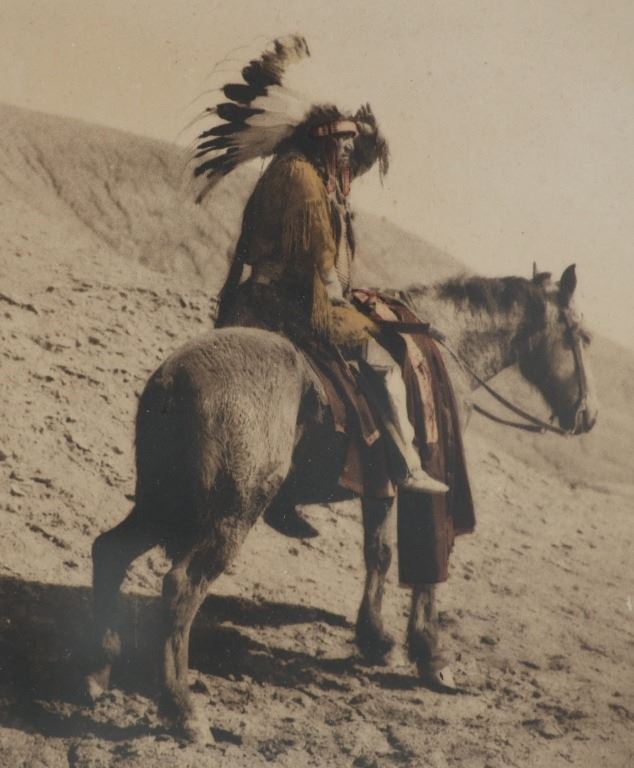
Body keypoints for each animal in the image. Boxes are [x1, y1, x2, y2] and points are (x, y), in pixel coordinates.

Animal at [84, 264, 597, 742]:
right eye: (584, 337)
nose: (589, 416)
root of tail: (171, 381)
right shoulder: (424, 490)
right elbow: (423, 570)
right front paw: (429, 655)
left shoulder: (381, 485)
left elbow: (379, 553)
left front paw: (375, 638)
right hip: (229, 514)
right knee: (180, 588)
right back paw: (183, 711)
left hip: (164, 503)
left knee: (109, 551)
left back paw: (98, 671)